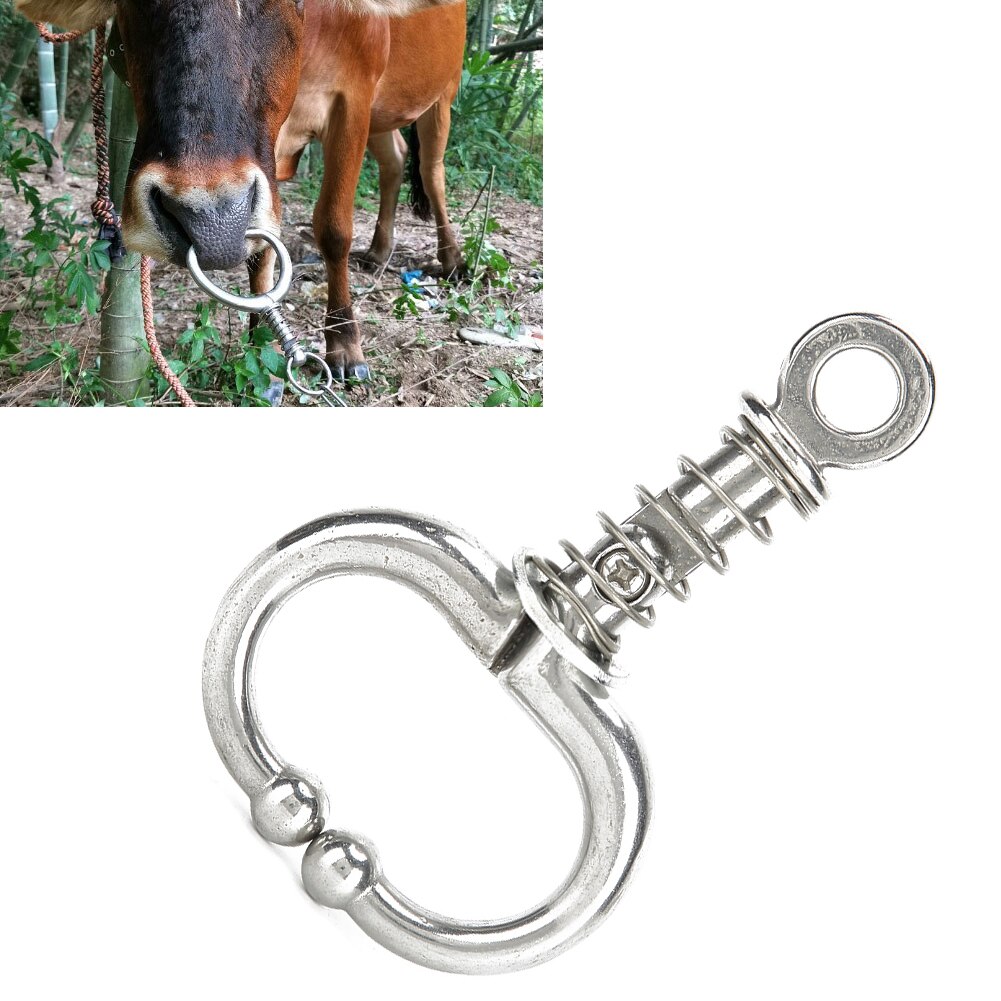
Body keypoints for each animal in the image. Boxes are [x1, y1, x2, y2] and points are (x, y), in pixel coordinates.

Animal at [16, 0, 466, 381]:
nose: (208, 219)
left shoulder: (352, 102)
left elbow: (334, 228)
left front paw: (344, 344)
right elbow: (261, 247)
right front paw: (263, 342)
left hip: (442, 93)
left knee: (430, 170)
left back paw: (453, 260)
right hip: (384, 116)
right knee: (395, 161)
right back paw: (378, 251)